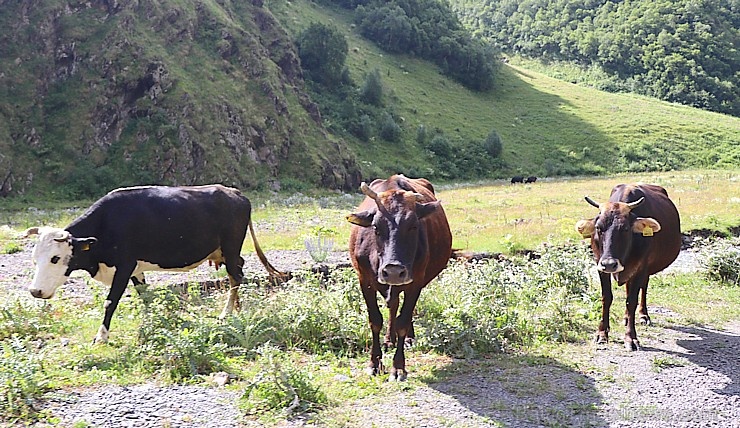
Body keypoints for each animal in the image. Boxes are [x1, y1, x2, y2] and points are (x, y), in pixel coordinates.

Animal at [26, 185, 286, 344]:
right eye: (35, 258)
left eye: (55, 258)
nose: (35, 291)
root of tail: (233, 191)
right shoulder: (136, 268)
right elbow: (145, 297)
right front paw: (152, 323)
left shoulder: (125, 265)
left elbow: (111, 302)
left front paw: (101, 337)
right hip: (225, 252)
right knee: (237, 273)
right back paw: (237, 308)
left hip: (231, 247)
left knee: (236, 276)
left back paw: (227, 312)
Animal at [346, 174, 450, 382]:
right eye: (376, 226)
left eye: (414, 226)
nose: (393, 271)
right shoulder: (364, 280)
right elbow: (375, 320)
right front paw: (374, 363)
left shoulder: (416, 281)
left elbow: (403, 320)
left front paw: (398, 367)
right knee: (393, 305)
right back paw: (389, 339)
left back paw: (407, 338)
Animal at [576, 182, 680, 350]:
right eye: (598, 228)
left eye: (625, 228)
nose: (610, 264)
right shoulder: (600, 265)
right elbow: (606, 297)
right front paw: (602, 333)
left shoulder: (641, 267)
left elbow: (631, 301)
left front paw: (631, 337)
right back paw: (626, 317)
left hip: (646, 270)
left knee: (643, 287)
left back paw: (643, 315)